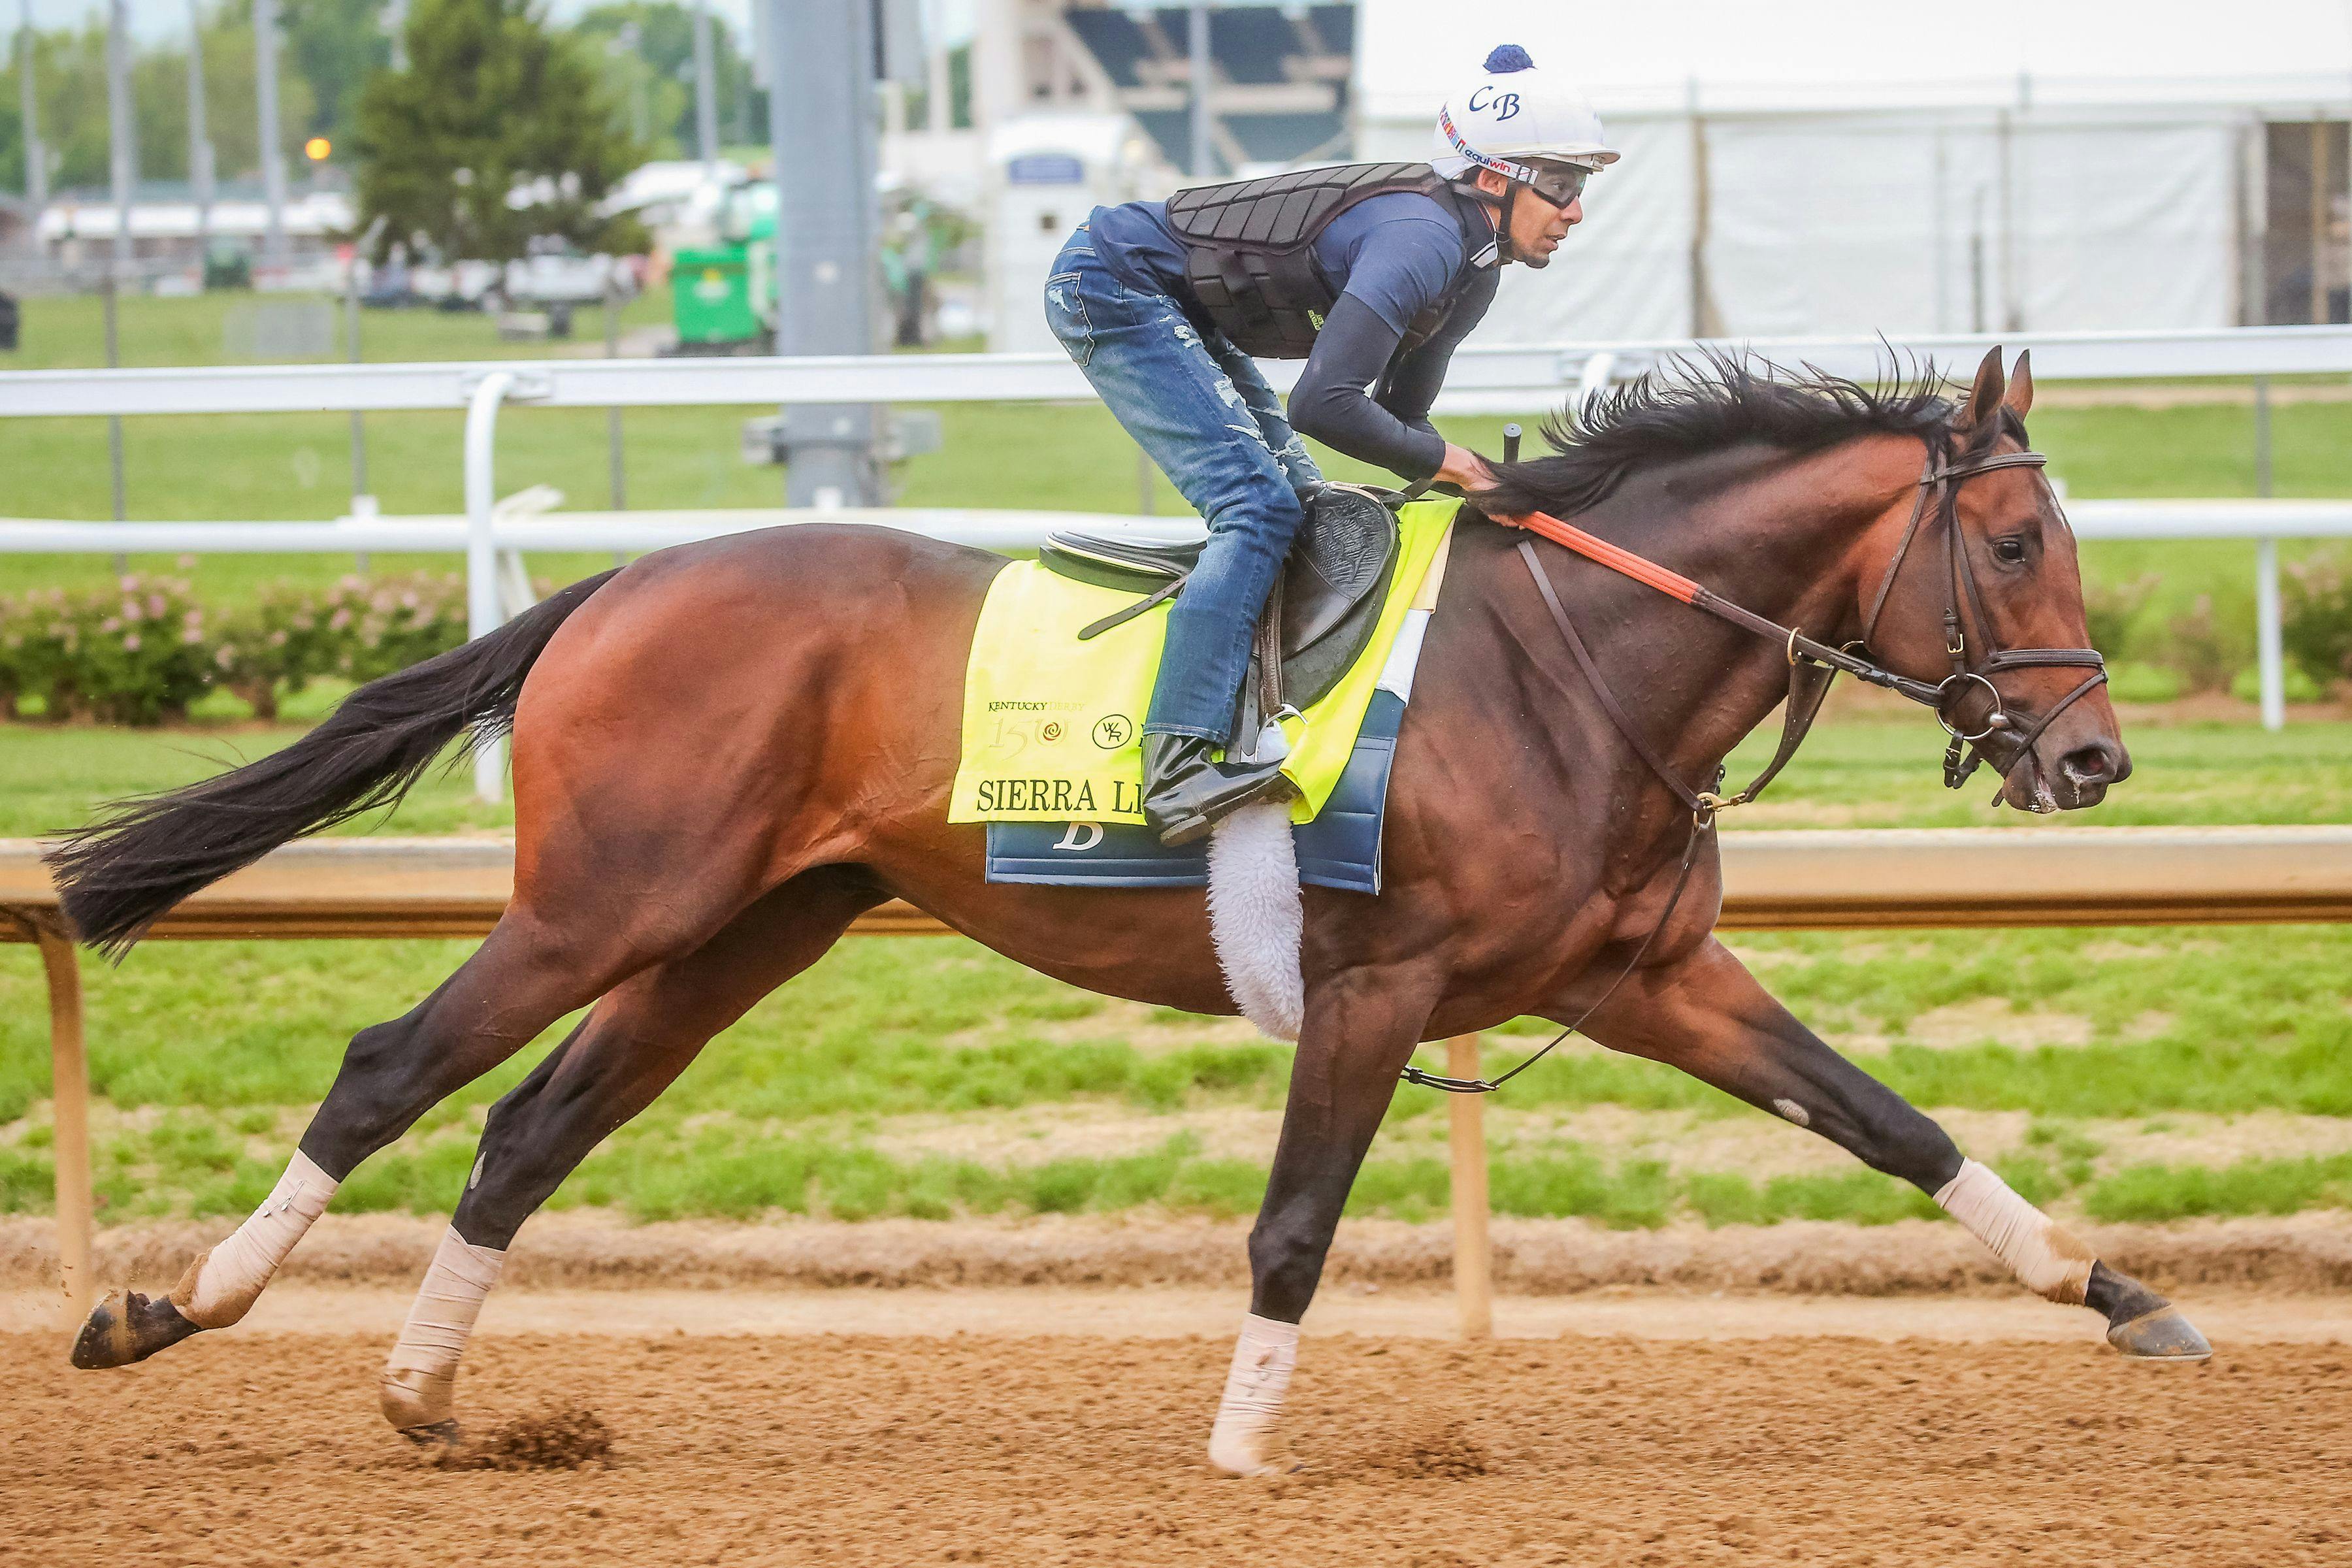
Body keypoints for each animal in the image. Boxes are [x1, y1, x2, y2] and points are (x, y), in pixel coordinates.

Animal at [50, 340, 2201, 1476]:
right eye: (2017, 539)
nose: (2096, 759)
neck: (1569, 662)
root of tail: (615, 584)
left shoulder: (1649, 970)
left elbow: (1893, 1123)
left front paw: (2121, 1293)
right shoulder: (1379, 982)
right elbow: (1295, 1222)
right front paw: (1244, 1447)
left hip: (745, 929)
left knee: (524, 1126)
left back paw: (426, 1388)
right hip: (604, 901)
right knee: (388, 1061)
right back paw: (168, 1302)